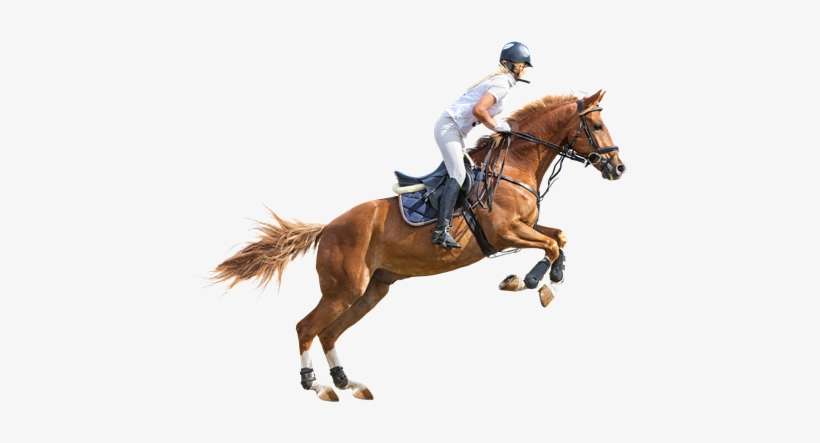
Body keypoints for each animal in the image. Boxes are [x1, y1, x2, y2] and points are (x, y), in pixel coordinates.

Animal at [213, 90, 625, 401]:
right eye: (598, 126)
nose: (618, 168)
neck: (515, 166)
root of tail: (327, 227)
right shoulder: (506, 232)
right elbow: (550, 245)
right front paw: (532, 282)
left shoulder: (526, 226)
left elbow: (559, 237)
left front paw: (547, 276)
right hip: (343, 290)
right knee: (305, 327)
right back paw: (315, 385)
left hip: (371, 291)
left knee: (328, 332)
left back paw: (348, 382)